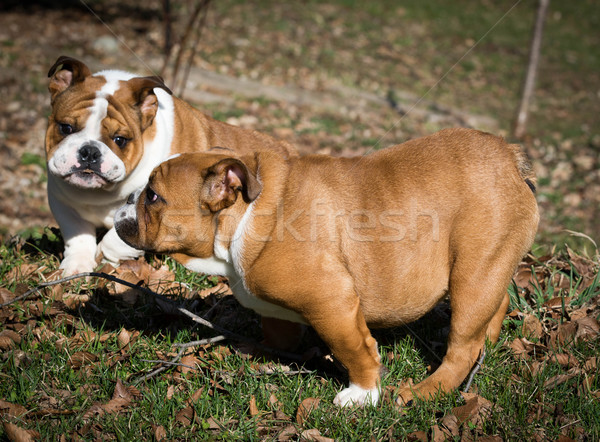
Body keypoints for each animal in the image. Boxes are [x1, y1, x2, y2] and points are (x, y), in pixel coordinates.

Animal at [44, 55, 292, 276]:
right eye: (65, 127)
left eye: (120, 140)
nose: (89, 151)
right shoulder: (63, 202)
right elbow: (78, 237)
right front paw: (76, 266)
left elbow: (116, 238)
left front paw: (106, 259)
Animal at [112, 126, 540, 406]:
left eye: (153, 196)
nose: (124, 202)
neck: (245, 213)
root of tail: (509, 158)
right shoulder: (278, 311)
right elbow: (278, 334)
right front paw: (254, 352)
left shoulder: (331, 303)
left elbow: (354, 350)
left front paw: (363, 395)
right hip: (488, 271)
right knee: (496, 307)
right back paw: (489, 343)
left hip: (472, 275)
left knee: (461, 348)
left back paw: (421, 392)